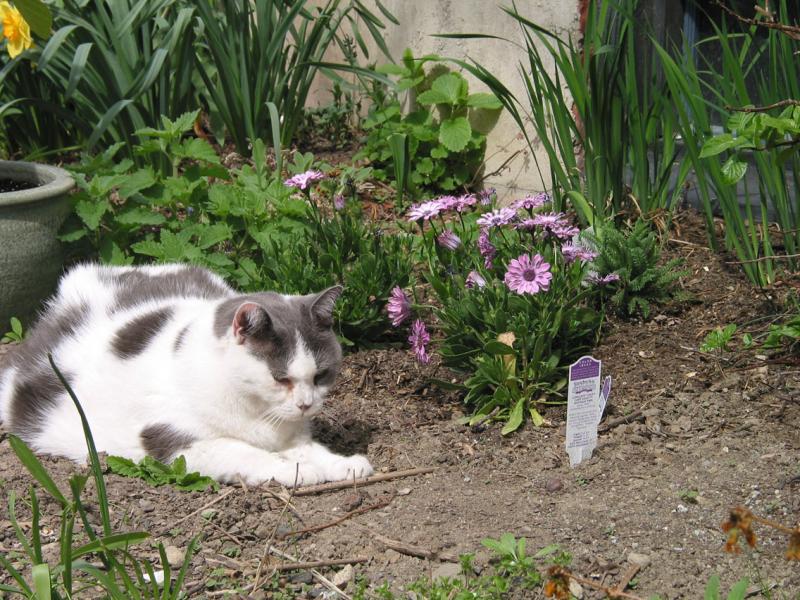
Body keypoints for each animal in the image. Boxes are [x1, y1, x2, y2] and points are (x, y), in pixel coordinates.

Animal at [0, 264, 374, 488]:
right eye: (280, 378)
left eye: (321, 375)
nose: (306, 405)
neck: (255, 412)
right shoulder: (176, 442)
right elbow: (246, 453)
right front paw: (296, 471)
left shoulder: (293, 434)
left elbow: (308, 449)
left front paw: (342, 464)